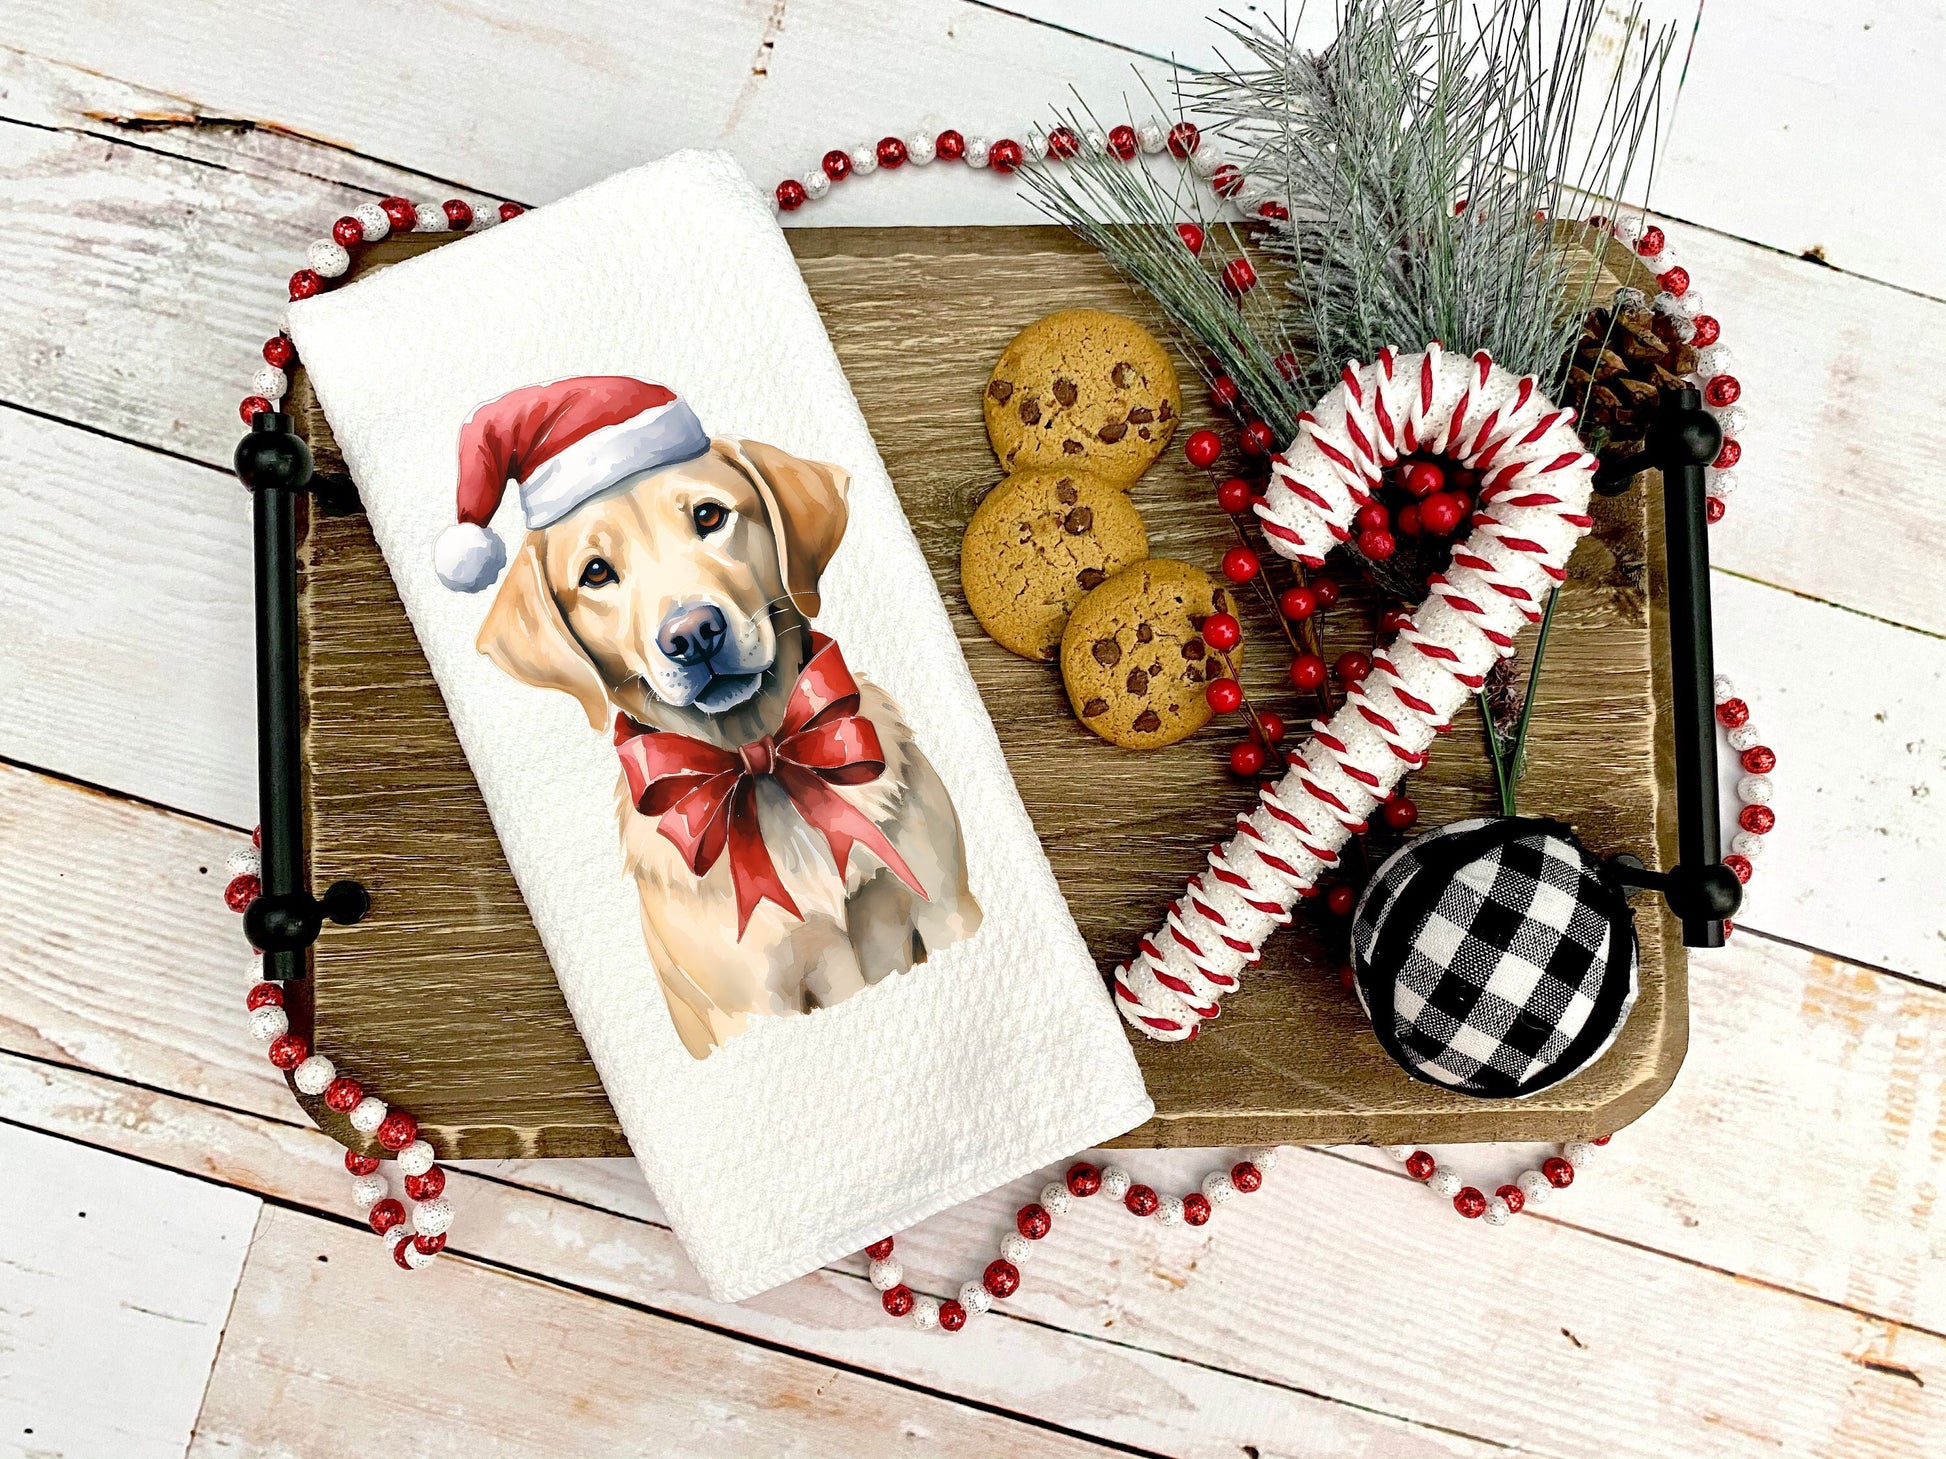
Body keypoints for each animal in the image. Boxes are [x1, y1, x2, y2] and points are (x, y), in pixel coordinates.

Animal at [478, 439, 980, 1058]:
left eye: (709, 516)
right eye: (596, 572)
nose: (693, 633)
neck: (759, 758)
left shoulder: (948, 912)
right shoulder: (758, 1008)